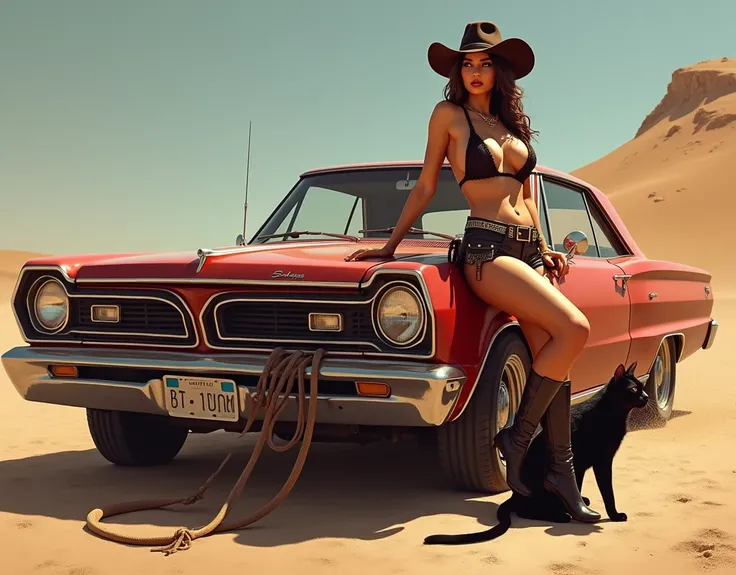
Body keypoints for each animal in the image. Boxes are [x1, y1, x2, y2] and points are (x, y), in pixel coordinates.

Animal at [422, 362, 648, 548]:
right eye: (634, 389)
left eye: (643, 388)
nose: (646, 397)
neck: (614, 413)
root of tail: (515, 494)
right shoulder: (603, 462)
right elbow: (608, 492)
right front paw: (615, 515)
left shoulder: (596, 463)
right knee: (527, 511)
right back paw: (561, 515)